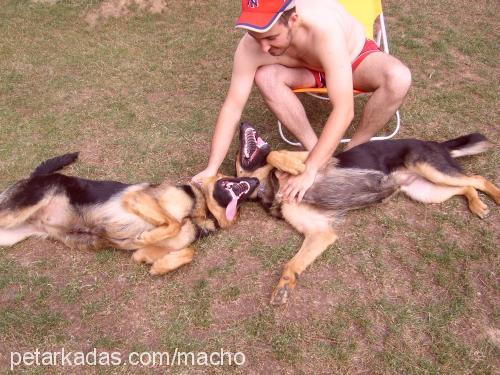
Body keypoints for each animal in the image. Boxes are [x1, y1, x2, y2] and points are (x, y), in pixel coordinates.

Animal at [0, 153, 258, 276]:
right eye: (230, 176)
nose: (256, 181)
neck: (200, 212)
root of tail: (38, 176)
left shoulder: (142, 253)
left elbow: (188, 252)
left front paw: (160, 267)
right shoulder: (137, 198)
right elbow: (172, 222)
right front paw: (146, 236)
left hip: (8, 235)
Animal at [236, 123, 498, 306]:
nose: (241, 124)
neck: (273, 186)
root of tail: (435, 143)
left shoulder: (317, 157)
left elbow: (276, 154)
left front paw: (288, 164)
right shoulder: (320, 233)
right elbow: (291, 264)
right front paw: (283, 287)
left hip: (430, 169)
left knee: (477, 179)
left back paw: (494, 197)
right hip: (426, 191)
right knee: (466, 187)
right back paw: (477, 205)